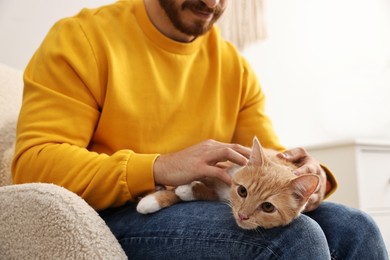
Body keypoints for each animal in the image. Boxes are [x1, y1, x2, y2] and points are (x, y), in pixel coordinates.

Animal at [136, 137, 318, 229]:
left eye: (268, 207)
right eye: (243, 191)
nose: (242, 215)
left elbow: (206, 193)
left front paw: (189, 190)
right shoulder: (215, 167)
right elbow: (178, 184)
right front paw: (153, 200)